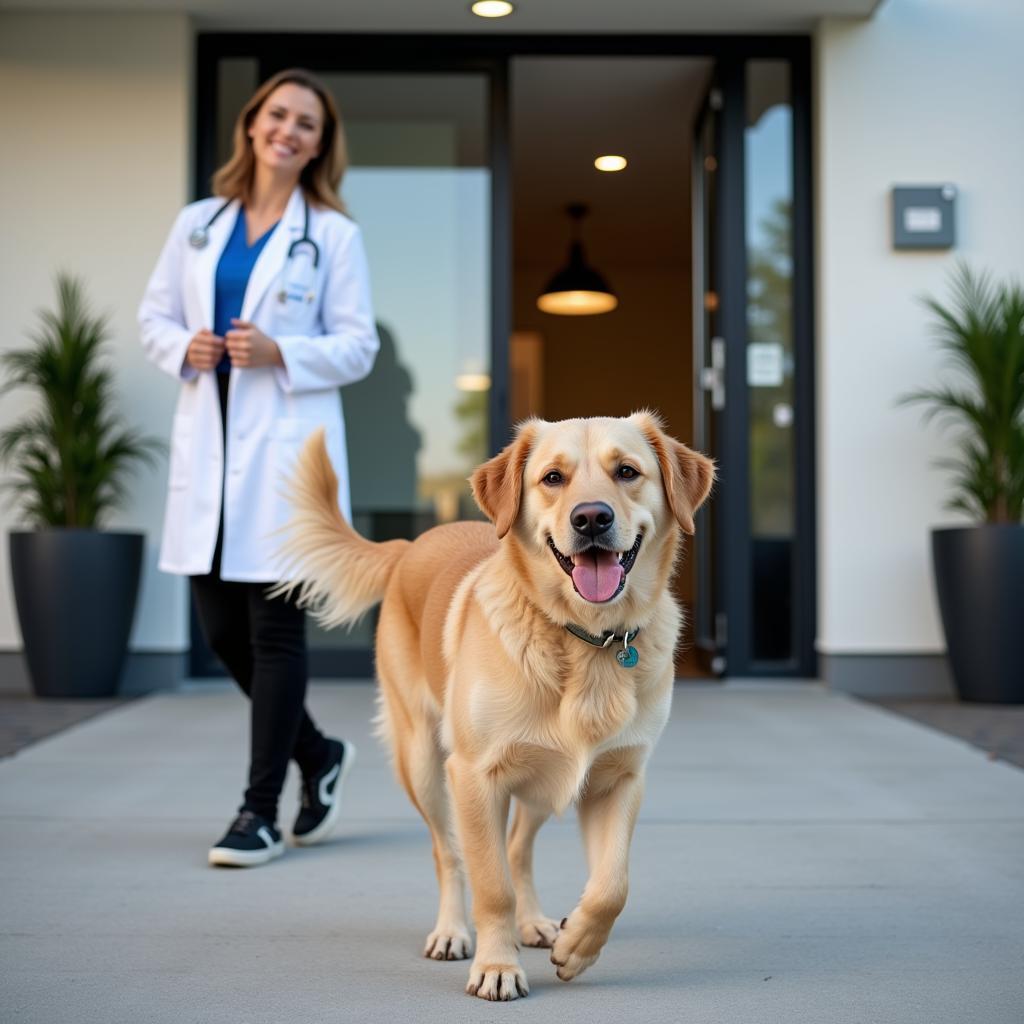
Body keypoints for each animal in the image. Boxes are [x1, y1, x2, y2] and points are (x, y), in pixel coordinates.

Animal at [276, 409, 716, 999]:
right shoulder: (476, 776)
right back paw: (452, 932)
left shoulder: (618, 778)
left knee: (516, 848)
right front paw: (496, 967)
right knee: (449, 853)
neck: (586, 641)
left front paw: (577, 945)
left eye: (626, 471)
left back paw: (534, 923)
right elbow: (490, 885)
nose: (591, 518)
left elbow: (611, 885)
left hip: (542, 779)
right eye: (552, 478)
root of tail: (408, 544)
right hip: (425, 764)